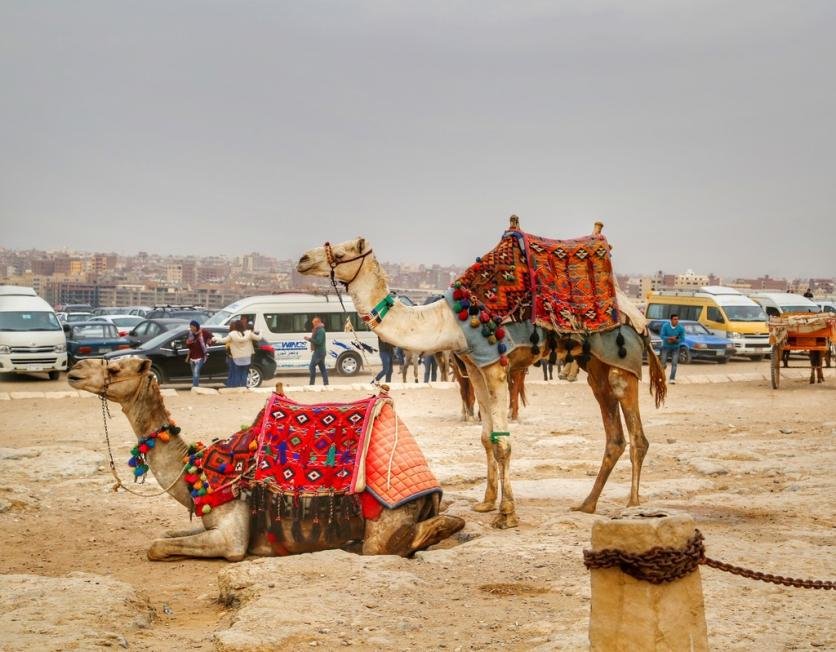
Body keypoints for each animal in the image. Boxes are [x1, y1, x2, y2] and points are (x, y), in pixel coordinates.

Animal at [68, 356, 464, 560]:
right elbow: (166, 533)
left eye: (115, 368)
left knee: (407, 538)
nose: (75, 368)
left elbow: (158, 546)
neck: (199, 472)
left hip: (385, 520)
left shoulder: (232, 537)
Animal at [298, 222, 664, 528]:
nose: (302, 259)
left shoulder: (494, 366)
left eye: (343, 253)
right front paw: (487, 503)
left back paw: (632, 505)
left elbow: (503, 443)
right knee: (614, 434)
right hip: (595, 367)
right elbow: (487, 437)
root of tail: (639, 319)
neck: (448, 320)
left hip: (621, 360)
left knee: (637, 436)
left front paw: (507, 515)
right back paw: (587, 504)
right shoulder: (473, 367)